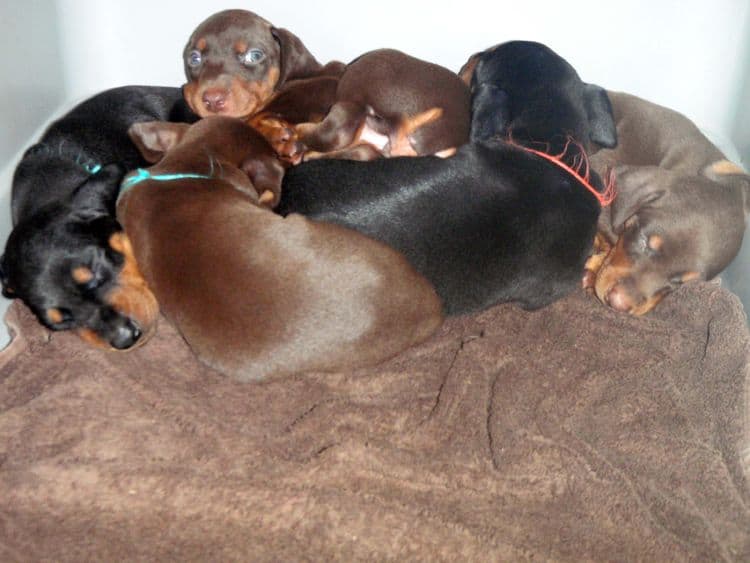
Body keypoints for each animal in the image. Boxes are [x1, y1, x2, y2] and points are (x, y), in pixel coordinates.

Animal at [184, 9, 470, 163]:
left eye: (254, 55)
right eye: (193, 59)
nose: (212, 100)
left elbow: (257, 118)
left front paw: (278, 136)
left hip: (366, 67)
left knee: (338, 128)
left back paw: (296, 135)